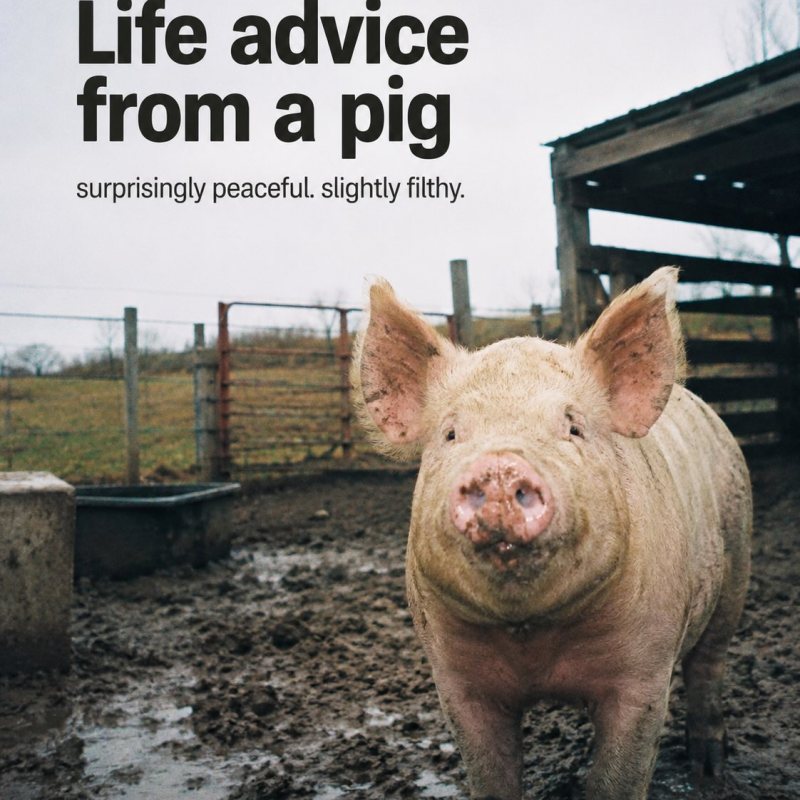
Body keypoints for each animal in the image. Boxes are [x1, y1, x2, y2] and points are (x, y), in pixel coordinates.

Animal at [352, 267, 751, 800]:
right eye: (451, 433)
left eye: (573, 427)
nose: (500, 468)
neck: (533, 638)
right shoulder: (455, 680)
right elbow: (491, 774)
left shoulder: (646, 673)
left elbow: (617, 777)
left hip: (736, 565)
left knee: (710, 665)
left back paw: (709, 772)